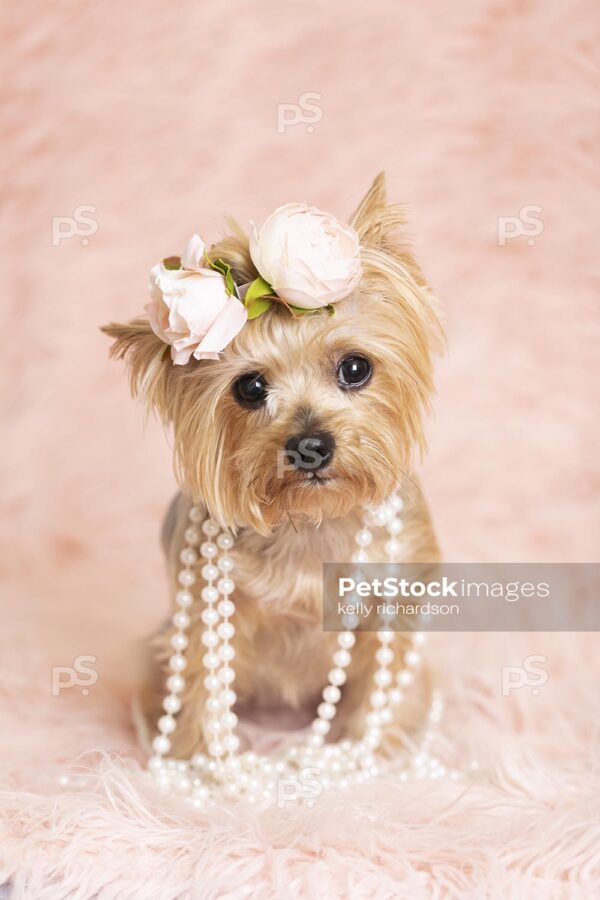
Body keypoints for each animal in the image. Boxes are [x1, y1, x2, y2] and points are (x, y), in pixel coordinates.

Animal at [102, 174, 440, 760]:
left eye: (356, 368)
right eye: (250, 387)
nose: (311, 446)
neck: (312, 521)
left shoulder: (397, 596)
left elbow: (384, 682)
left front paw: (376, 754)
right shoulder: (206, 611)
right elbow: (202, 682)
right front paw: (199, 760)